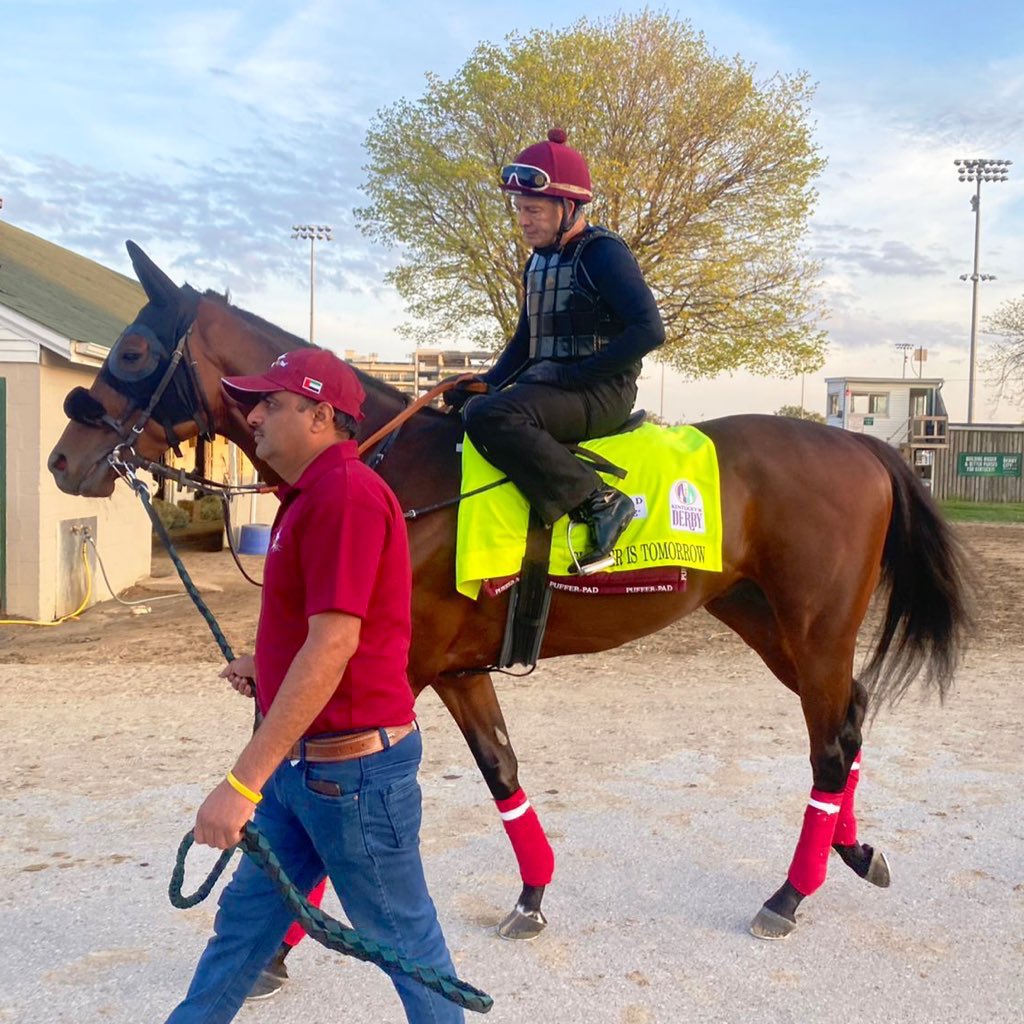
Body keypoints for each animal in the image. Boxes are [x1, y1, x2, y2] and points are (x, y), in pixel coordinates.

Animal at [48, 243, 971, 941]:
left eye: (134, 352)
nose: (62, 458)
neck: (397, 471)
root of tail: (865, 447)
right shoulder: (456, 669)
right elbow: (500, 770)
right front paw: (532, 894)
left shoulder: (396, 666)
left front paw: (279, 943)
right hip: (764, 620)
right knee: (848, 717)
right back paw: (854, 852)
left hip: (814, 626)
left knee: (829, 745)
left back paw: (789, 894)